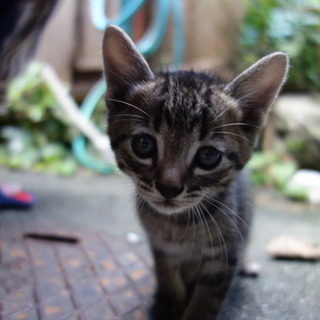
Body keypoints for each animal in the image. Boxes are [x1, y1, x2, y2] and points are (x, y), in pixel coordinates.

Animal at [101, 25, 288, 320]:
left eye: (208, 156)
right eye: (143, 144)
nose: (169, 188)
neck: (177, 226)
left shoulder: (225, 253)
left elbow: (208, 297)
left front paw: (194, 310)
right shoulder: (160, 247)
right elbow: (167, 275)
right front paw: (168, 304)